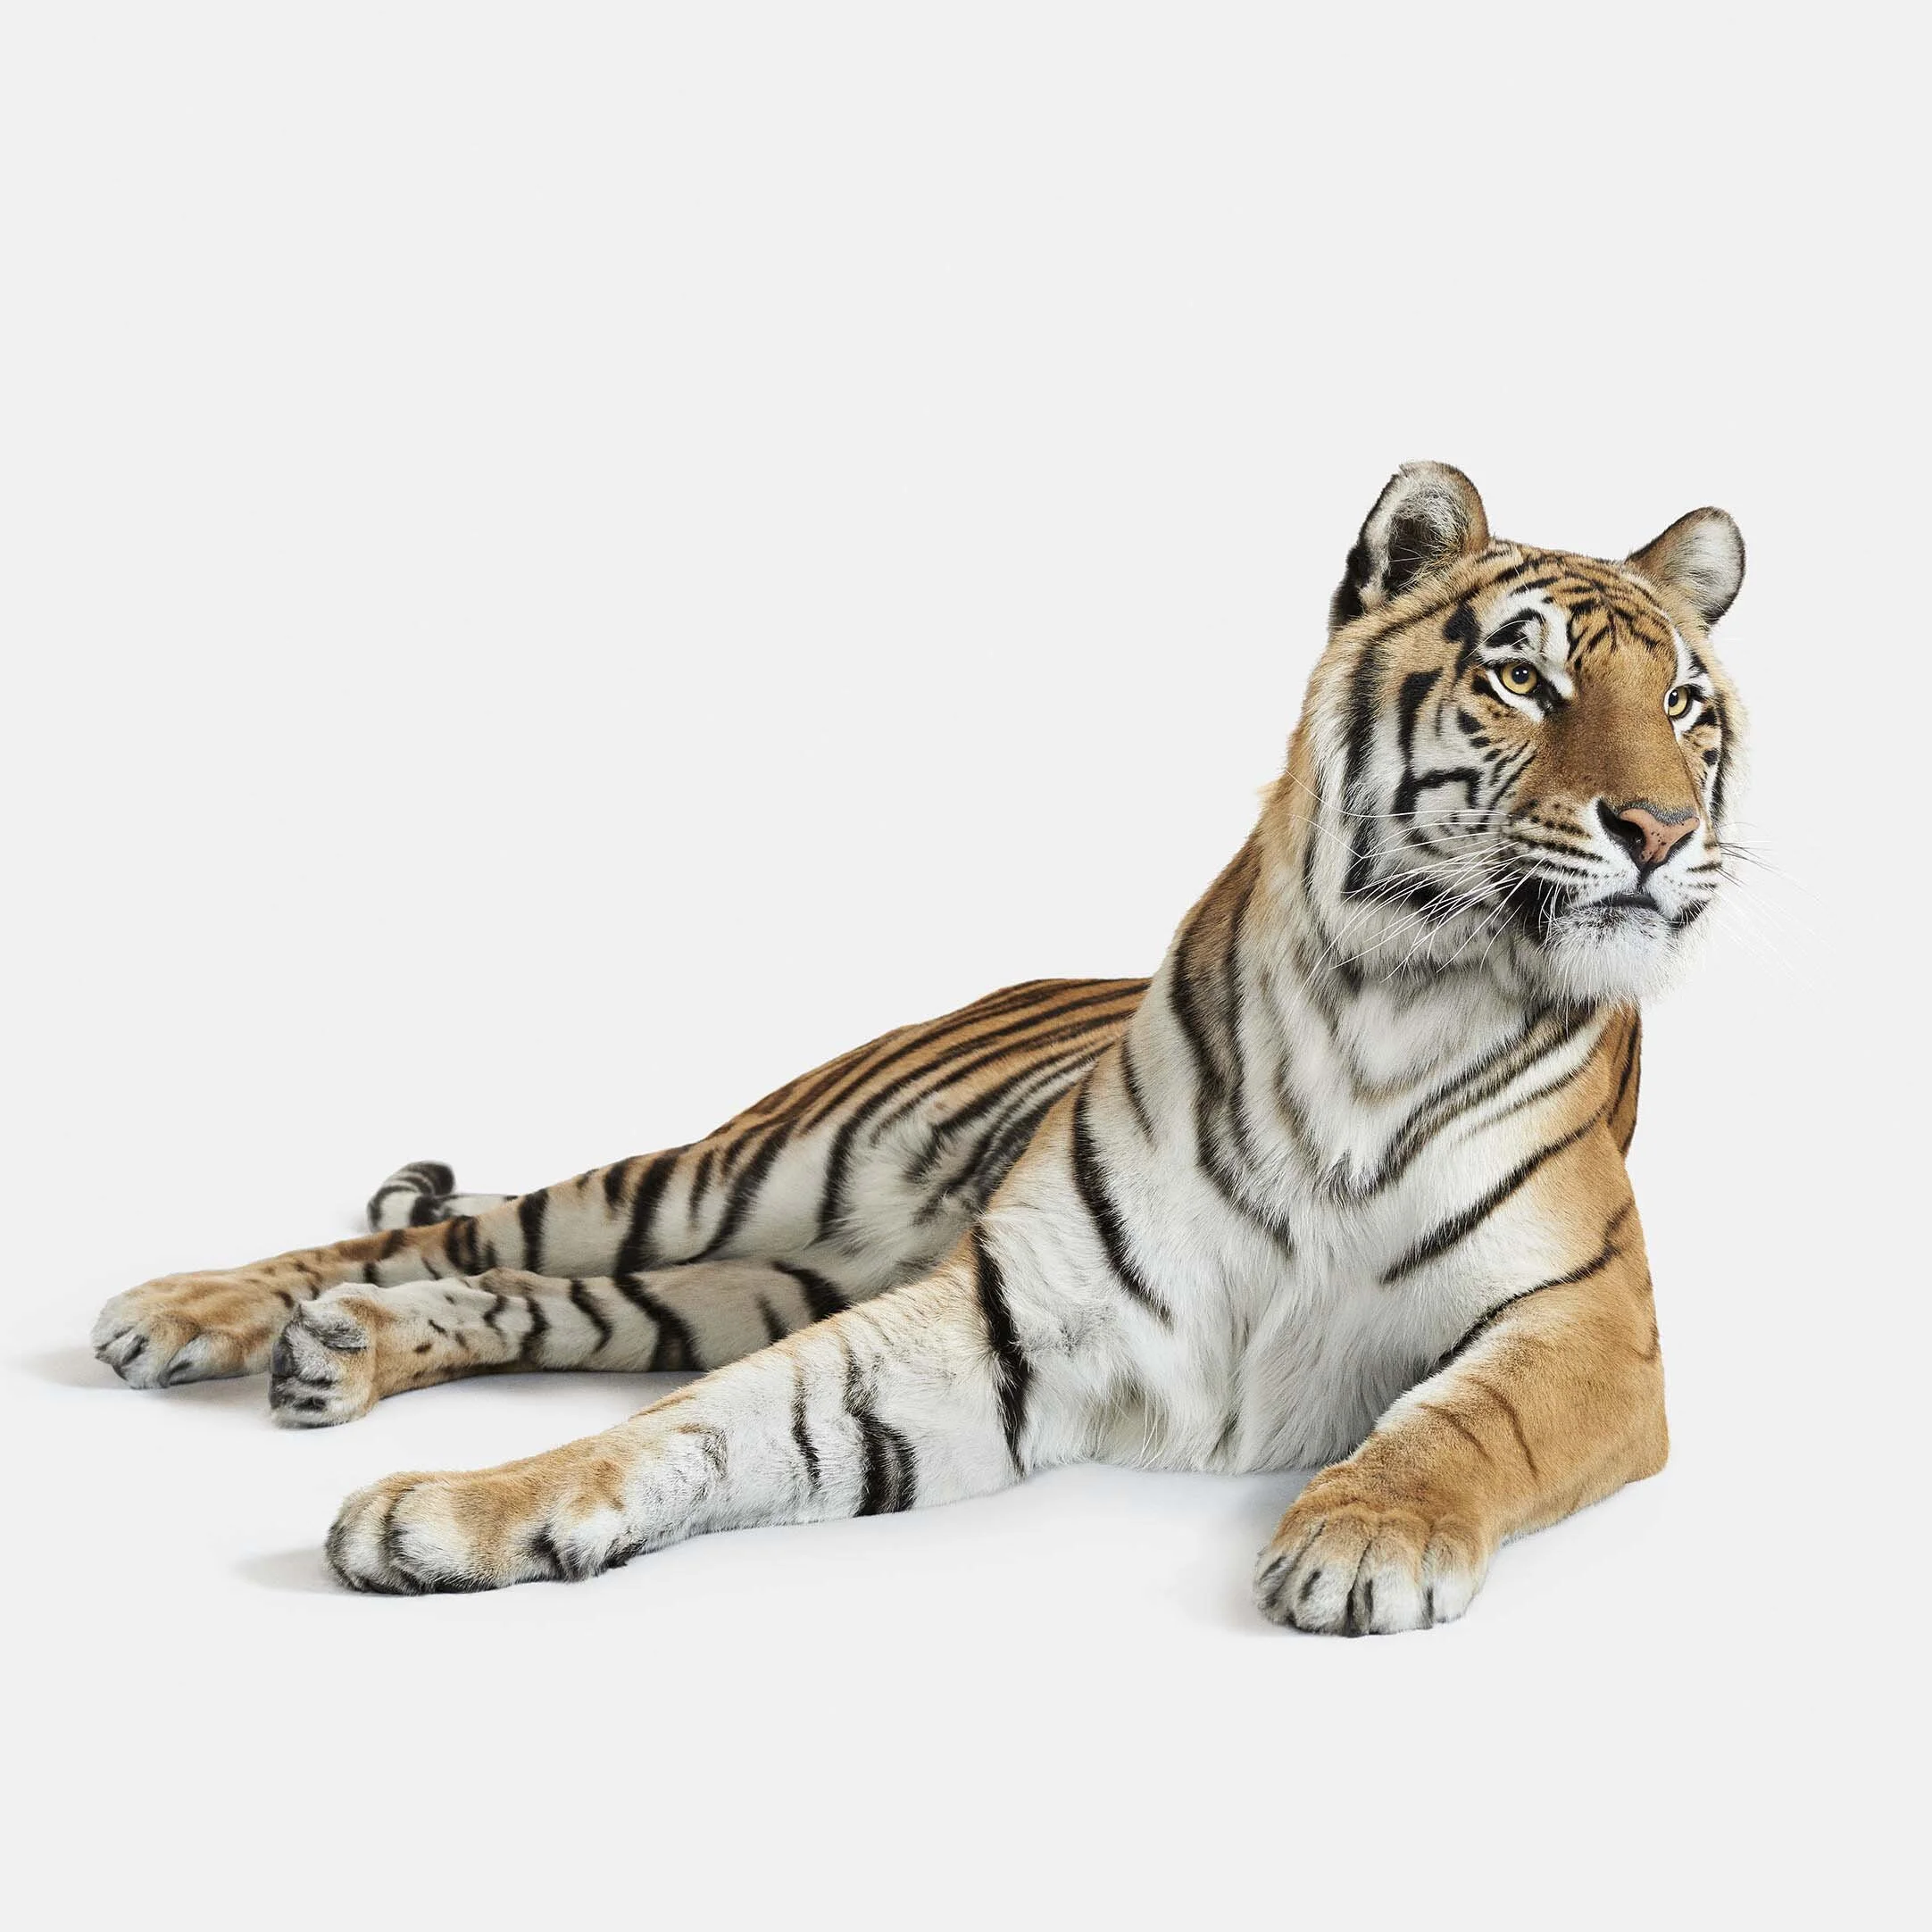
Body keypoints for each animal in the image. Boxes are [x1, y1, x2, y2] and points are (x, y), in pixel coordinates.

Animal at [91, 462, 1745, 1633]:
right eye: (1521, 677)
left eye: (1679, 700)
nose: (1659, 831)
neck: (1391, 998)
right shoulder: (1007, 1319)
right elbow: (694, 1428)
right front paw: (455, 1506)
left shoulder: (1586, 1326)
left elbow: (1462, 1423)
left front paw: (1362, 1533)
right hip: (725, 1175)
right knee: (450, 1234)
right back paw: (187, 1313)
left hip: (751, 1271)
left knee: (538, 1295)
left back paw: (341, 1351)